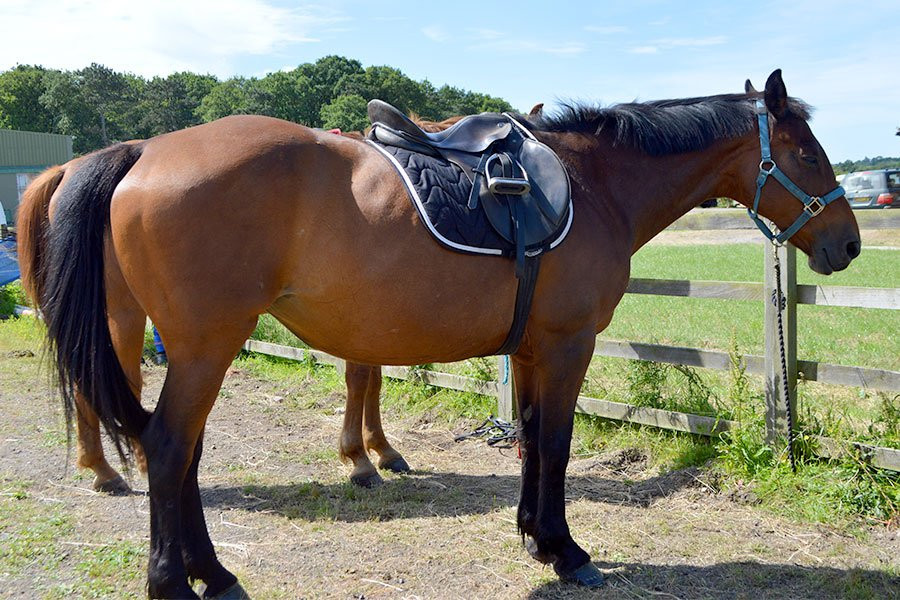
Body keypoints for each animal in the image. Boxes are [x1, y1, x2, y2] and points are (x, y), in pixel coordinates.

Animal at [17, 70, 859, 597]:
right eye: (807, 152)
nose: (848, 243)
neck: (593, 186)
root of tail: (144, 151)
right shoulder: (568, 344)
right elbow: (557, 444)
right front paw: (567, 552)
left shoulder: (531, 348)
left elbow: (529, 439)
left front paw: (534, 536)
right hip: (201, 346)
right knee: (166, 449)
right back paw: (179, 581)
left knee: (180, 451)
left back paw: (211, 573)